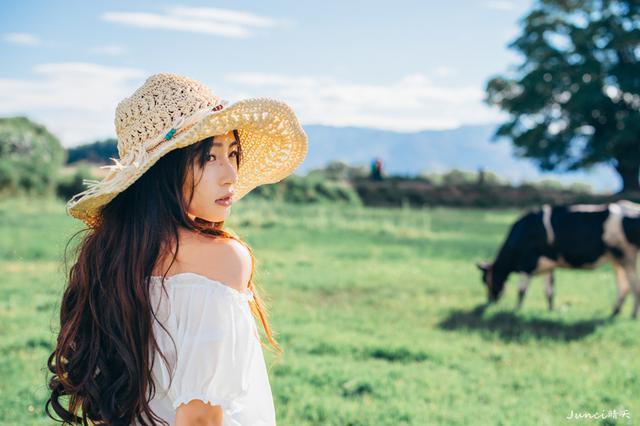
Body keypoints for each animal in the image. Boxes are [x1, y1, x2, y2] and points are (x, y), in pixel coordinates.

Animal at [476, 201, 640, 318]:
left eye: (488, 280)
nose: (490, 301)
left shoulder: (527, 263)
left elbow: (522, 290)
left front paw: (517, 310)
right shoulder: (549, 266)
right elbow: (549, 292)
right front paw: (550, 310)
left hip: (627, 256)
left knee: (634, 286)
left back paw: (632, 315)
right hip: (617, 259)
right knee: (624, 286)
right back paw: (615, 311)